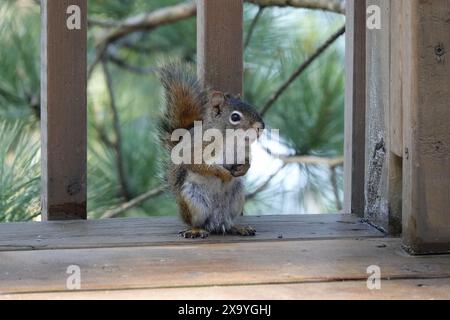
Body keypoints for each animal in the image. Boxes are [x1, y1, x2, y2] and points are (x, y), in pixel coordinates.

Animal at [157, 62, 264, 238]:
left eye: (252, 107)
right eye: (235, 117)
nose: (261, 126)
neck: (231, 139)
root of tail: (216, 222)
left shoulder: (245, 150)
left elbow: (248, 161)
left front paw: (243, 169)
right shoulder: (196, 148)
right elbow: (197, 164)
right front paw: (223, 173)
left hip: (236, 198)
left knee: (228, 223)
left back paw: (238, 227)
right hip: (193, 200)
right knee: (197, 222)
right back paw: (196, 230)